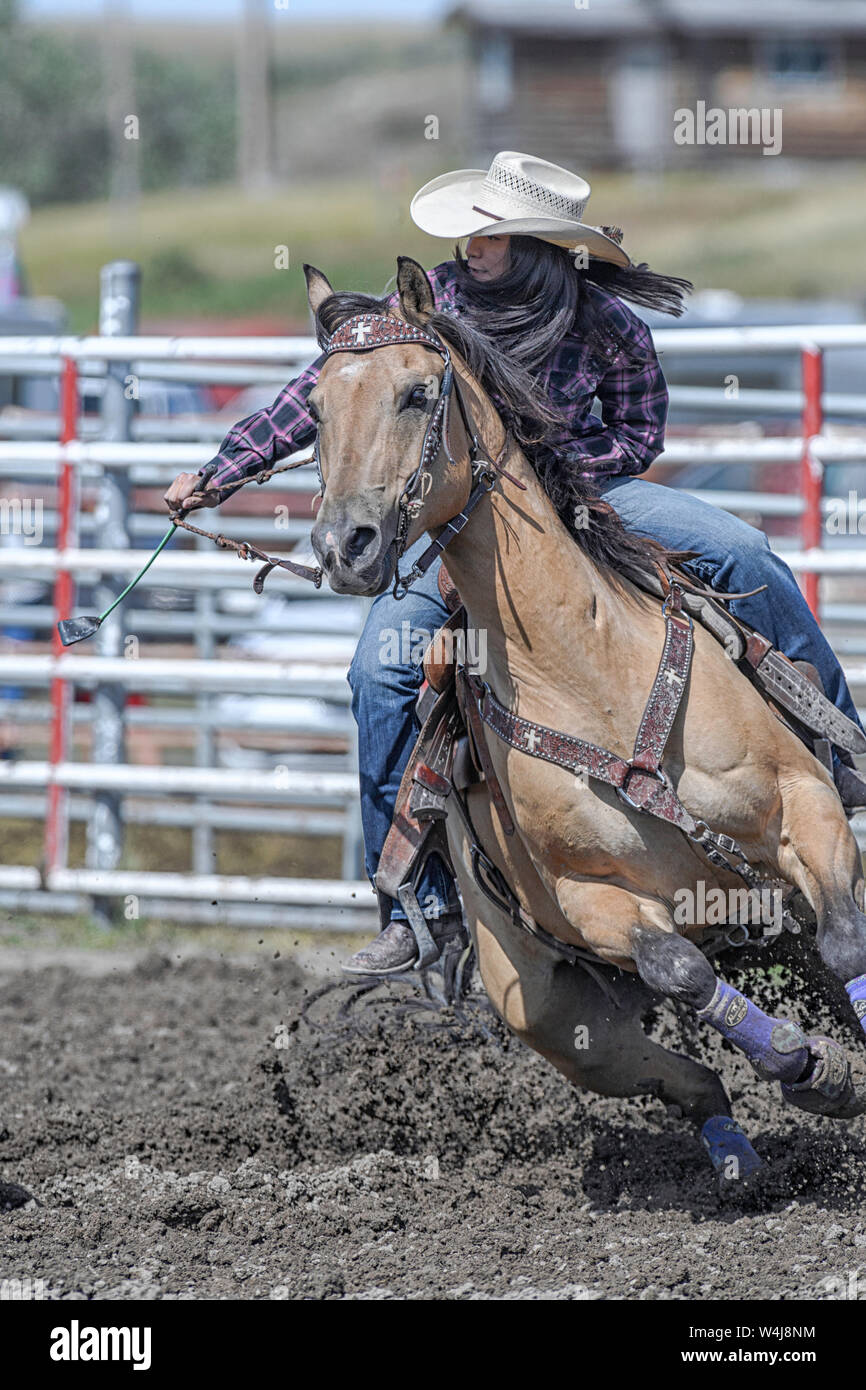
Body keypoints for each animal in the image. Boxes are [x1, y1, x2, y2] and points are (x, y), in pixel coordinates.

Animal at [300, 258, 866, 1184]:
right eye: (313, 408)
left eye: (417, 393)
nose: (344, 545)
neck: (590, 674)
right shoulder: (589, 897)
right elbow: (680, 969)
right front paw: (813, 1068)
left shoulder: (807, 804)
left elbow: (846, 943)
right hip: (556, 1016)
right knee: (693, 1077)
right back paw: (738, 1156)